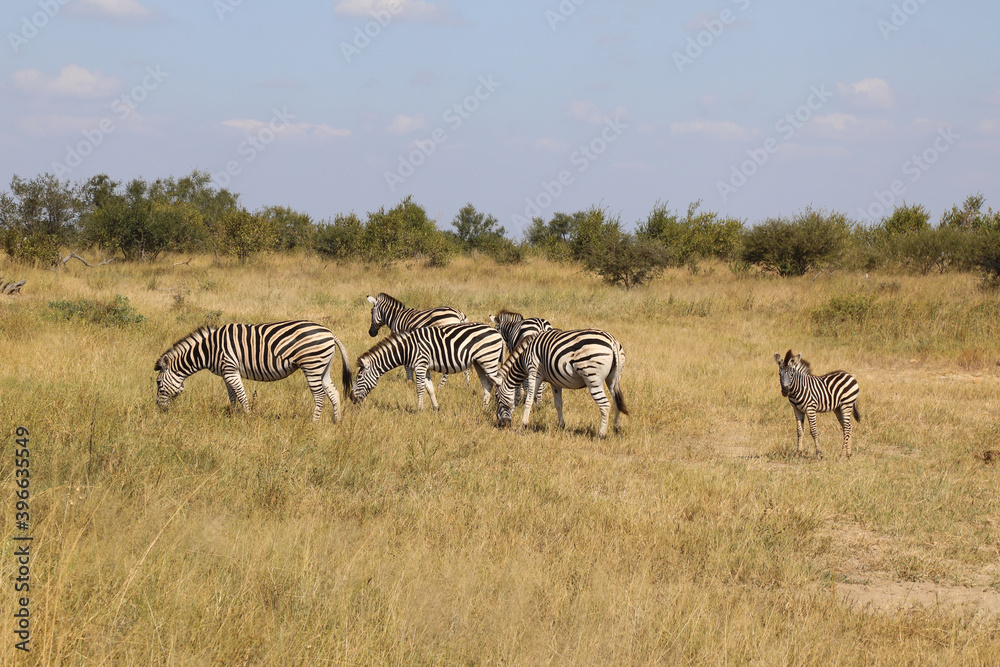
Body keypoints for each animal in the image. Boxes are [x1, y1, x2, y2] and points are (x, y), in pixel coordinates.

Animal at [154, 320, 352, 422]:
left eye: (158, 383)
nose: (159, 408)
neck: (209, 349)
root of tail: (330, 333)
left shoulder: (230, 369)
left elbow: (241, 395)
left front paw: (248, 418)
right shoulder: (226, 372)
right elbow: (232, 396)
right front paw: (234, 417)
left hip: (312, 365)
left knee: (319, 396)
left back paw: (314, 423)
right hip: (323, 367)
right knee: (333, 392)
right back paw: (337, 421)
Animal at [350, 322, 503, 411]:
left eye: (359, 377)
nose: (351, 398)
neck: (407, 349)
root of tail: (497, 332)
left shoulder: (420, 365)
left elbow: (420, 388)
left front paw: (419, 410)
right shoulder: (426, 368)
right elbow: (430, 389)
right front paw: (436, 408)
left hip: (489, 359)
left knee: (498, 382)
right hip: (479, 363)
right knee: (487, 385)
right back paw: (484, 408)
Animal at [495, 329, 628, 438]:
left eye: (497, 398)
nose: (501, 424)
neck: (523, 358)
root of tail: (612, 341)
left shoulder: (534, 372)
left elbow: (529, 400)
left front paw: (523, 425)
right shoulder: (555, 381)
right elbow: (558, 404)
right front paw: (561, 425)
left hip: (592, 377)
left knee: (605, 405)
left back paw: (601, 435)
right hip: (613, 379)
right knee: (616, 402)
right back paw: (617, 429)